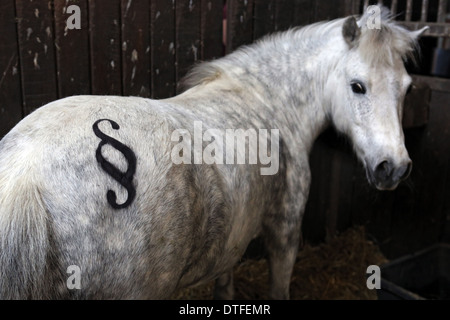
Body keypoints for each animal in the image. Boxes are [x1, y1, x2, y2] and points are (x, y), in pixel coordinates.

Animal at [0, 7, 426, 298]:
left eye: (408, 87)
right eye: (358, 86)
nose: (394, 167)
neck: (267, 100)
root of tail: (27, 172)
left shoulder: (229, 243)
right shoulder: (284, 233)